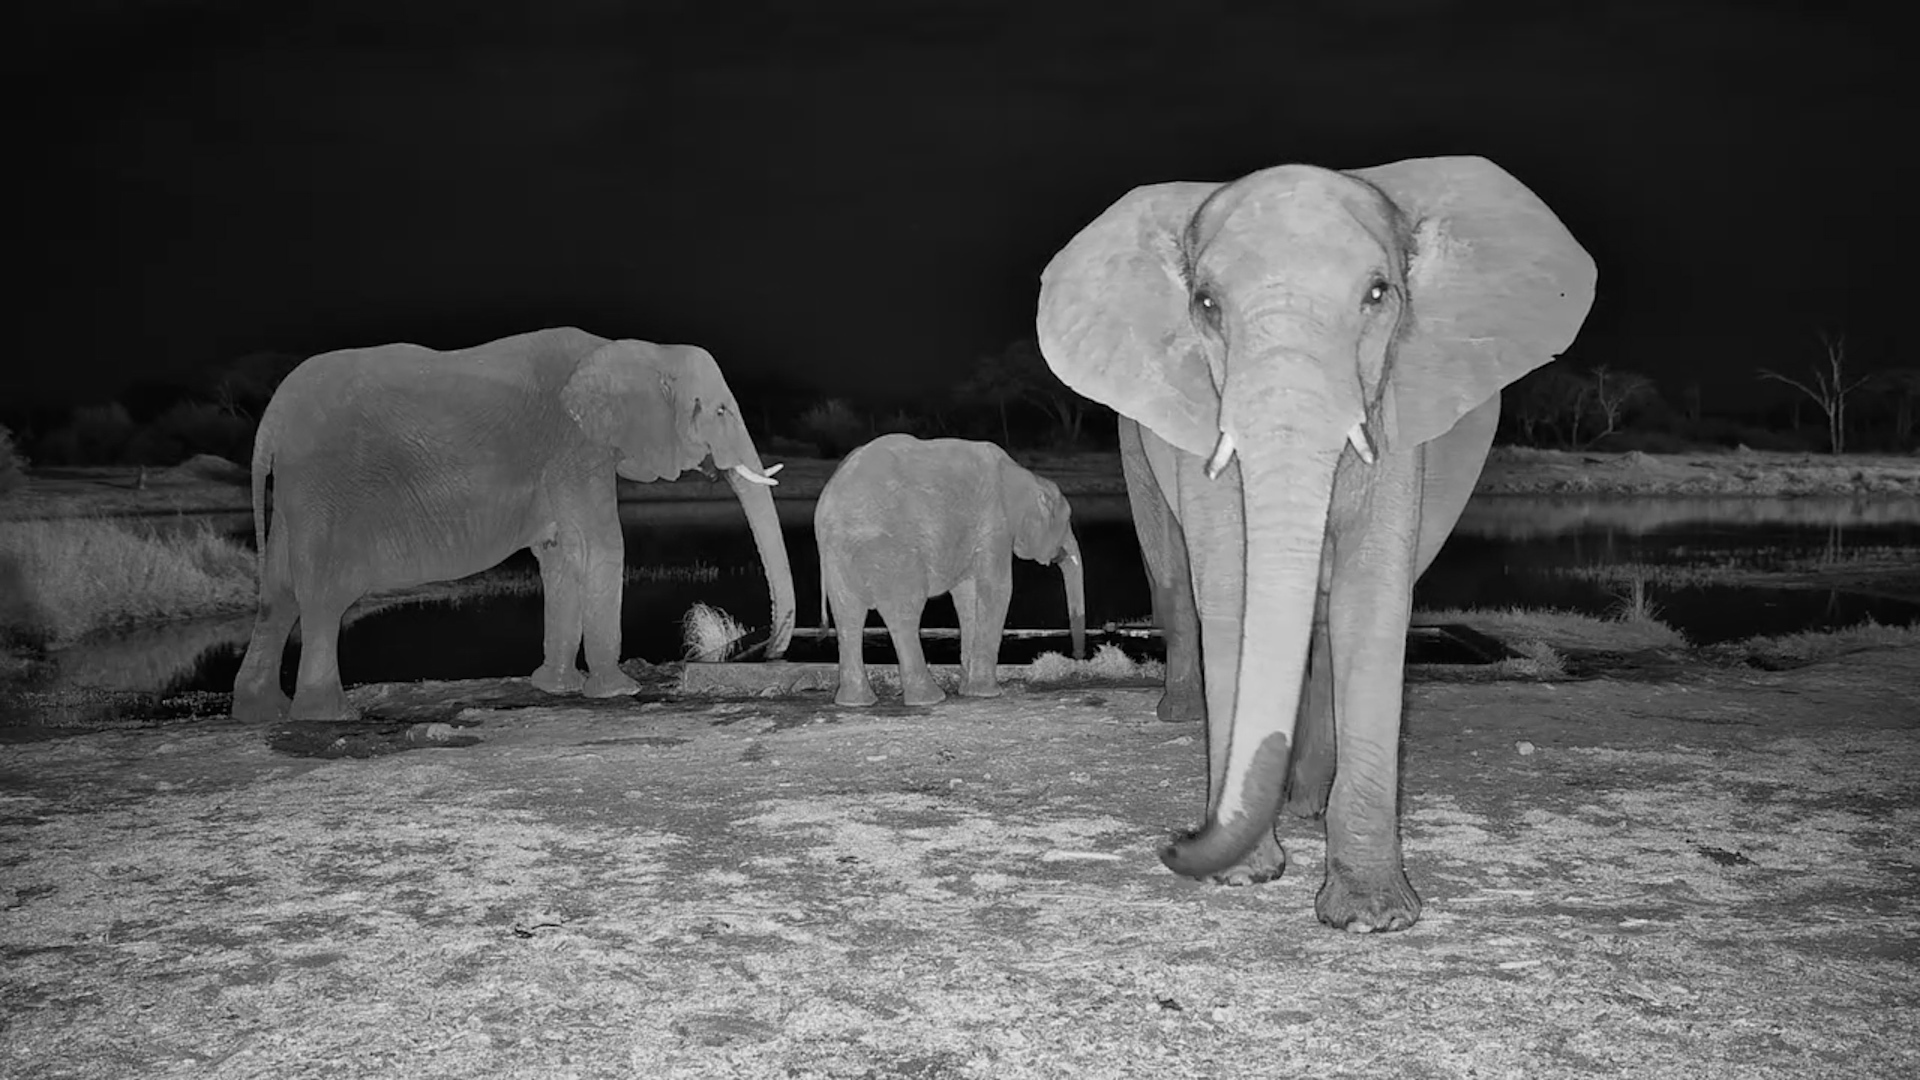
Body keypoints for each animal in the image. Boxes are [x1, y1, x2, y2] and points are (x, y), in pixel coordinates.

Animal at [229, 326, 797, 723]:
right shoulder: (576, 448)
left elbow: (561, 552)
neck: (632, 350)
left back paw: (260, 712)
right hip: (326, 488)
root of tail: (269, 424)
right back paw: (330, 716)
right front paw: (619, 691)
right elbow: (601, 546)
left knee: (277, 595)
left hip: (297, 493)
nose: (765, 652)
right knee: (324, 594)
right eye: (720, 411)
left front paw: (555, 687)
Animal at [814, 434, 1087, 707]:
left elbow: (967, 596)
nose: (1078, 656)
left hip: (838, 558)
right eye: (1066, 519)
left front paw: (969, 690)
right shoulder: (994, 526)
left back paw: (855, 702)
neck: (1023, 475)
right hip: (891, 551)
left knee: (848, 617)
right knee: (904, 612)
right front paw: (987, 693)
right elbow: (997, 590)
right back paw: (929, 699)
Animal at [1036, 156, 1595, 931]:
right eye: (1205, 304)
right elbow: (1230, 585)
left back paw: (1307, 803)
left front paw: (1368, 918)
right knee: (1174, 571)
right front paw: (1246, 874)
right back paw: (1193, 724)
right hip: (1131, 439)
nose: (1176, 843)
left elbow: (1375, 594)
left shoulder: (1397, 412)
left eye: (1379, 294)